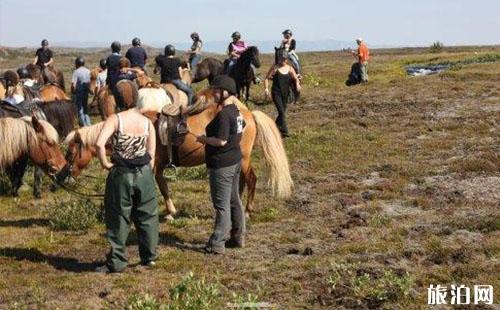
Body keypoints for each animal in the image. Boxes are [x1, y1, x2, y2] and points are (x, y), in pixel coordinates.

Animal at [61, 87, 292, 218]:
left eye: (70, 154)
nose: (63, 178)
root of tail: (249, 114)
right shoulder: (158, 169)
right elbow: (164, 187)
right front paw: (170, 211)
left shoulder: (154, 167)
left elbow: (161, 188)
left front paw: (169, 213)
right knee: (242, 181)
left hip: (243, 158)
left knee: (251, 179)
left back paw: (247, 210)